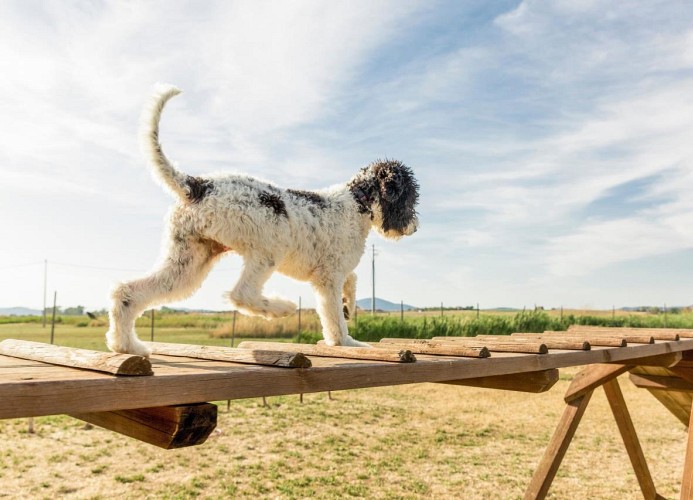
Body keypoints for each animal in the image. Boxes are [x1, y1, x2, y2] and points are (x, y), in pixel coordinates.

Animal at [104, 87, 416, 360]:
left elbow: (352, 281)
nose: (413, 227)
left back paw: (126, 346)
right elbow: (334, 319)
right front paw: (346, 342)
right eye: (410, 194)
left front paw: (349, 304)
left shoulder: (331, 273)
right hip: (267, 247)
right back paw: (281, 308)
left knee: (128, 292)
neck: (357, 201)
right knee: (241, 294)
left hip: (189, 261)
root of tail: (197, 185)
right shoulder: (328, 278)